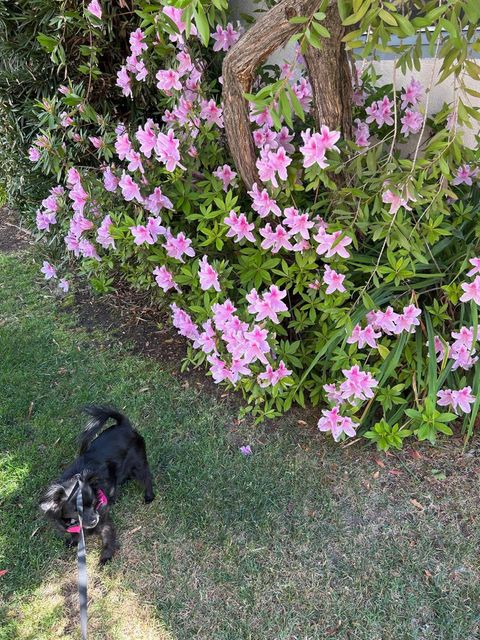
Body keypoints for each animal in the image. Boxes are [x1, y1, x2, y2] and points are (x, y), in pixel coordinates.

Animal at [40, 408, 156, 564]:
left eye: (94, 503)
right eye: (77, 510)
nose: (94, 519)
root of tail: (123, 425)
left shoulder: (104, 523)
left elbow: (108, 540)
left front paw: (105, 557)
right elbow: (76, 535)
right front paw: (73, 541)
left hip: (138, 466)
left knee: (147, 478)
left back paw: (149, 496)